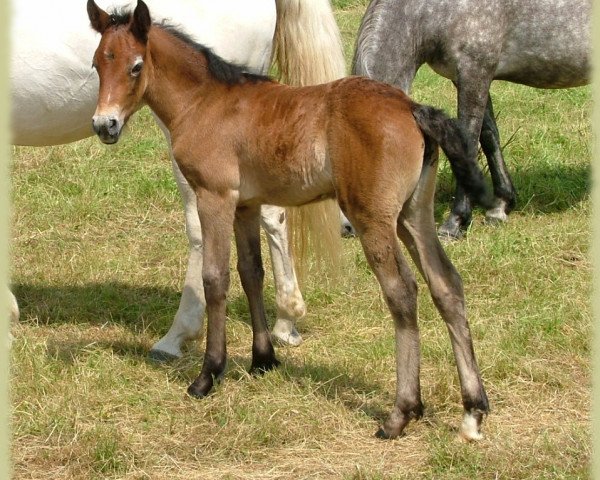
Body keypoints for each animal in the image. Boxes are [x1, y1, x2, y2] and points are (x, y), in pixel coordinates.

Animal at [10, 0, 346, 360]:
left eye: (136, 67)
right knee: (270, 214)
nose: (104, 125)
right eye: (96, 64)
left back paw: (177, 335)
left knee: (205, 231)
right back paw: (285, 321)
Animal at [89, 0, 492, 438]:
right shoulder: (246, 205)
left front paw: (208, 374)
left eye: (135, 66)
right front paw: (263, 359)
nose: (105, 125)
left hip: (373, 218)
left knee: (402, 293)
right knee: (446, 284)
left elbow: (215, 278)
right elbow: (251, 272)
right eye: (97, 63)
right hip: (413, 214)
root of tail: (412, 108)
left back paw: (401, 413)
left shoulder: (215, 197)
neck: (205, 102)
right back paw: (473, 412)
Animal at [352, 0, 592, 239]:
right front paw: (500, 206)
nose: (349, 229)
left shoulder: (474, 73)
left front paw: (455, 223)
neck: (430, 11)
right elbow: (489, 136)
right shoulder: (465, 78)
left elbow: (468, 140)